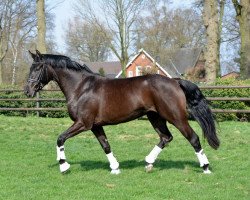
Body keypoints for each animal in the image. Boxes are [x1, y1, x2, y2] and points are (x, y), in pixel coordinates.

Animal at [24, 50, 220, 174]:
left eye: (37, 68)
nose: (27, 91)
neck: (81, 88)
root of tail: (175, 81)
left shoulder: (82, 123)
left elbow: (60, 138)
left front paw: (64, 166)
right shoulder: (95, 126)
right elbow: (106, 145)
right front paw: (115, 168)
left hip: (176, 117)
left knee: (193, 138)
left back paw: (206, 167)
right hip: (155, 117)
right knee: (166, 137)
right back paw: (148, 163)